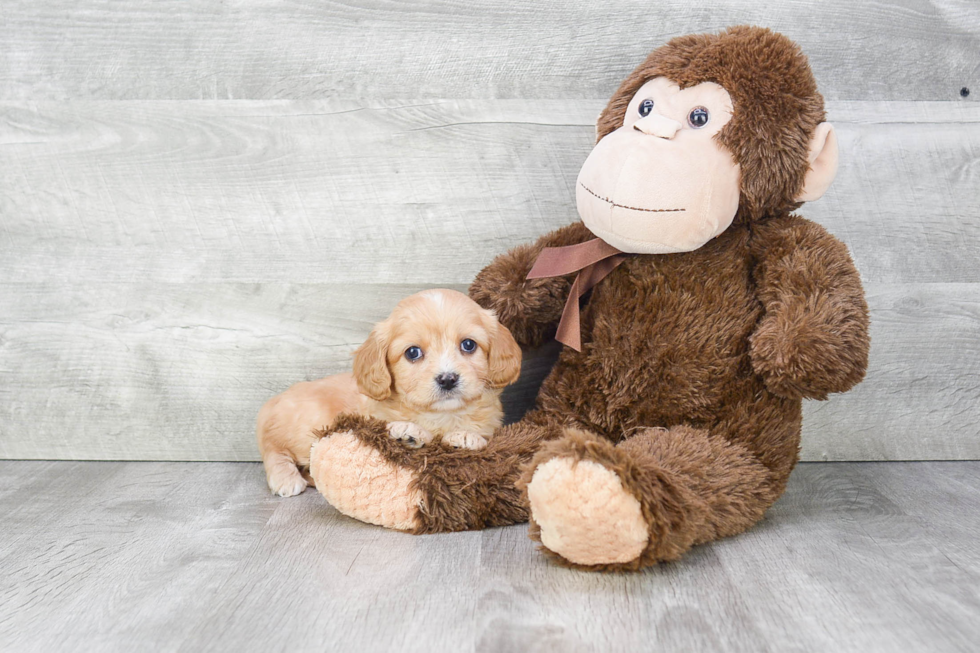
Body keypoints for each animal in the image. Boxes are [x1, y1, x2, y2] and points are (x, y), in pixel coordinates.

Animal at [256, 288, 524, 496]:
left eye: (468, 345)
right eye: (413, 352)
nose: (447, 379)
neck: (441, 416)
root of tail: (274, 401)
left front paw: (467, 436)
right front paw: (408, 431)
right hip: (306, 424)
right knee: (273, 447)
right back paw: (286, 478)